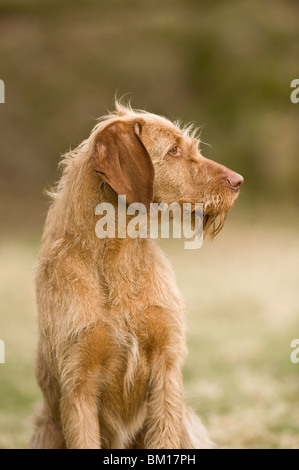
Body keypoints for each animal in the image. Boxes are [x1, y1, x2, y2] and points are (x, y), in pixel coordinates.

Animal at [28, 102, 244, 448]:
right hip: (46, 431)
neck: (117, 258)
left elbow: (165, 435)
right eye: (173, 150)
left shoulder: (166, 366)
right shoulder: (78, 384)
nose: (239, 181)